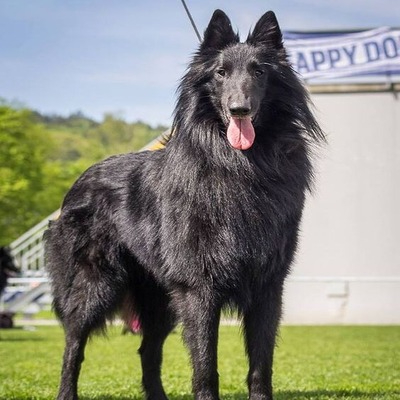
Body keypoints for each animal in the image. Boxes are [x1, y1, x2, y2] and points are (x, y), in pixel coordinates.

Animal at [44, 9, 324, 400]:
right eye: (220, 73)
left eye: (259, 72)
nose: (239, 109)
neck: (240, 167)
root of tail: (78, 183)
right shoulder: (199, 288)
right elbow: (205, 363)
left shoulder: (268, 286)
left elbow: (261, 363)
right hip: (94, 286)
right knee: (73, 347)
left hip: (161, 302)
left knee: (147, 349)